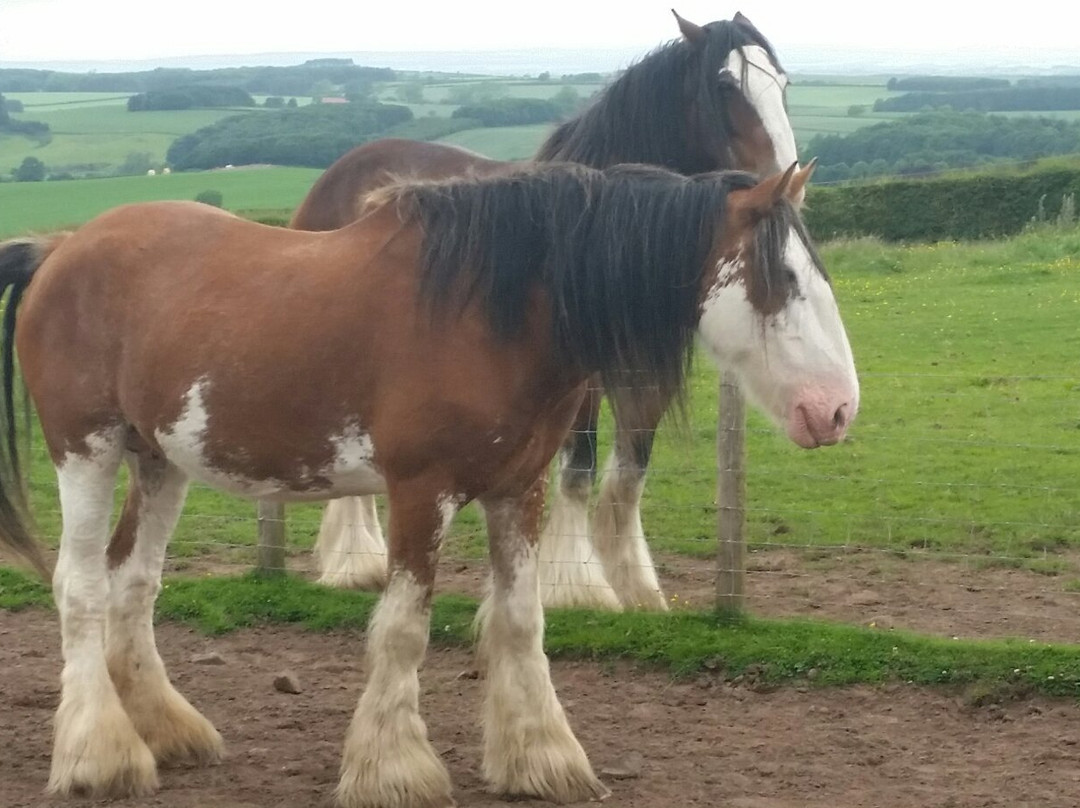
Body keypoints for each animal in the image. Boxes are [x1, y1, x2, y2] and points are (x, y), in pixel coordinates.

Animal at [0, 160, 857, 806]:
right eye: (782, 278)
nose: (837, 409)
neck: (490, 312)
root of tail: (61, 250)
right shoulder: (421, 492)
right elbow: (404, 628)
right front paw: (393, 770)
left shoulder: (520, 490)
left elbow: (520, 622)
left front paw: (541, 758)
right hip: (86, 449)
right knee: (82, 586)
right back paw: (101, 755)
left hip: (159, 459)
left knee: (132, 581)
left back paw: (165, 729)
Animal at [295, 10, 802, 611]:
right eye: (725, 86)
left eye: (783, 84)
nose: (788, 184)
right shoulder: (577, 380)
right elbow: (580, 466)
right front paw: (577, 585)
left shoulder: (642, 374)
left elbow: (631, 469)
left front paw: (637, 587)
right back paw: (356, 562)